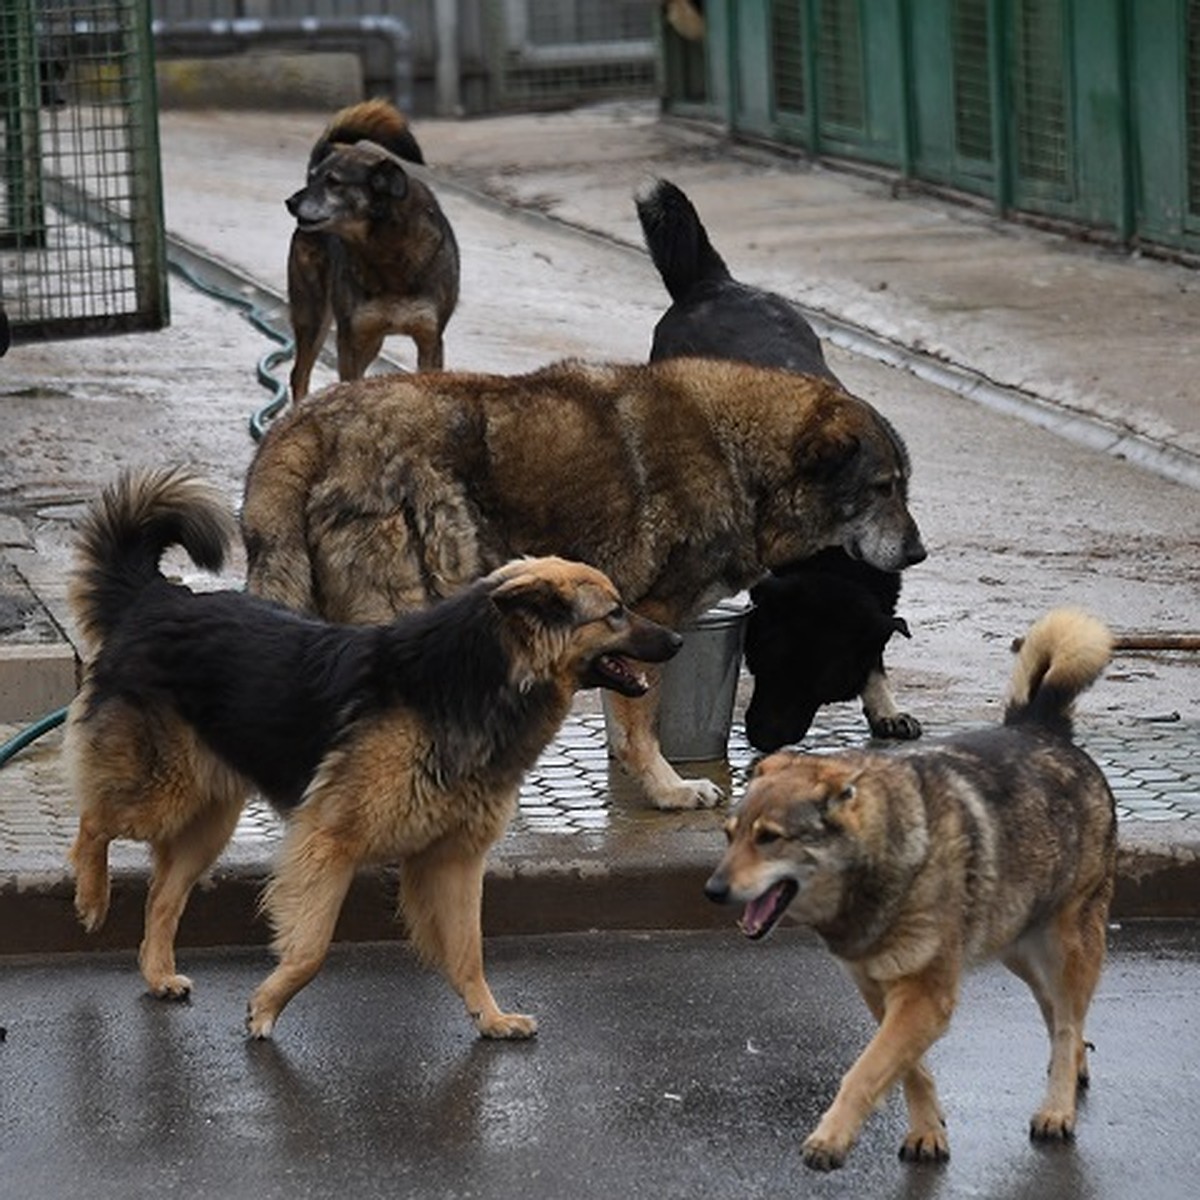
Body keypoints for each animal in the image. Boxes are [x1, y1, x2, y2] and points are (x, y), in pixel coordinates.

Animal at [68, 463, 686, 1036]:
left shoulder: (454, 859)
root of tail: (154, 598)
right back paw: (93, 899)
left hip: (209, 822)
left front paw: (490, 1018)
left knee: (161, 896)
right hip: (162, 793)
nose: (679, 639)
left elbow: (470, 951)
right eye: (614, 613)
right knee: (94, 824)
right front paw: (265, 1007)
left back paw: (156, 973)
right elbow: (312, 948)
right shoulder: (329, 844)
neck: (477, 680)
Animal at [238, 350, 921, 811]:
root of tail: (301, 423)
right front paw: (669, 791)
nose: (917, 552)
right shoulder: (653, 616)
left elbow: (627, 718)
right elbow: (641, 725)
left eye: (903, 488)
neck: (742, 460)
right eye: (882, 489)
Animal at [283, 99, 460, 398]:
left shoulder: (430, 339)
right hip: (313, 315)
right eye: (315, 178)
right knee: (299, 375)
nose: (290, 202)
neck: (385, 251)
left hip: (371, 341)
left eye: (333, 182)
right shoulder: (350, 338)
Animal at [633, 177, 921, 748]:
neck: (831, 554)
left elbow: (877, 653)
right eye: (762, 662)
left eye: (826, 687)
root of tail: (714, 283)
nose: (764, 739)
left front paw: (883, 704)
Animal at [700, 609, 1113, 1171]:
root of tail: (1041, 727)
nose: (712, 890)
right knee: (1057, 1011)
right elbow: (907, 1069)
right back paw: (1072, 1070)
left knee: (1069, 1017)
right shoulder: (879, 990)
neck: (885, 861)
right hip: (1015, 942)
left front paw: (831, 1137)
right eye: (730, 835)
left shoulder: (925, 994)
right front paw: (926, 1131)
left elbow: (867, 1068)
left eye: (769, 838)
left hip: (1067, 943)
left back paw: (1058, 1107)